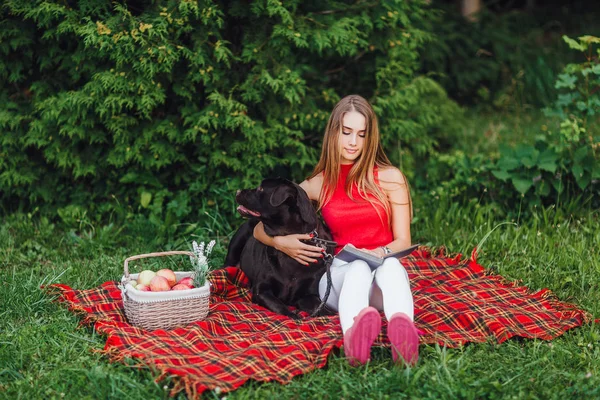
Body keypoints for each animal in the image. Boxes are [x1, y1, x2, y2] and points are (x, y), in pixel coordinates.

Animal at [225, 178, 336, 318]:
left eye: (261, 189)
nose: (238, 191)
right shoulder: (261, 290)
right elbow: (280, 306)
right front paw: (294, 315)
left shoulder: (309, 294)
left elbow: (320, 308)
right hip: (236, 244)